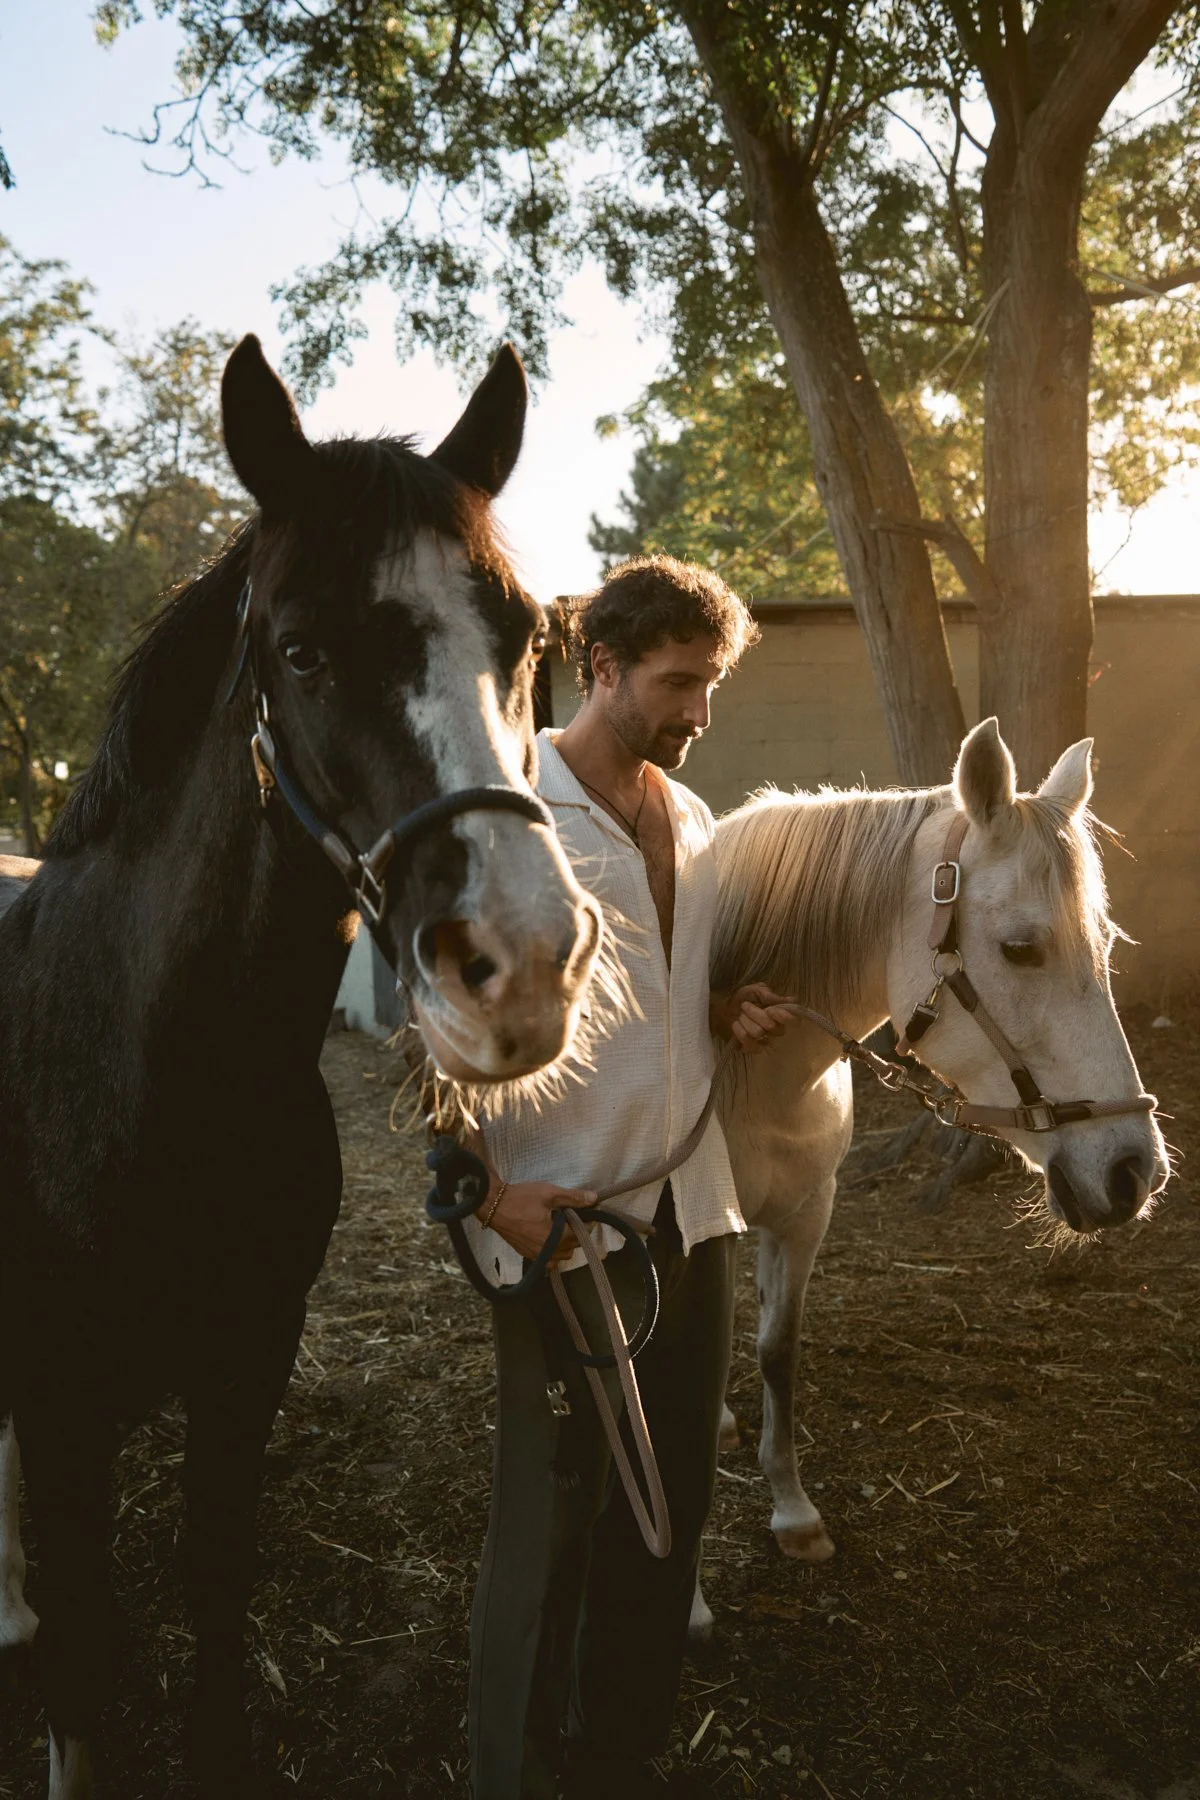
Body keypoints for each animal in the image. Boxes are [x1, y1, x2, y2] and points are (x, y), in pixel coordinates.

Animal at [0, 335, 603, 1799]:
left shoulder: (246, 1372)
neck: (144, 1083)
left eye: (526, 640)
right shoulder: (64, 1412)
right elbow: (89, 1674)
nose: (524, 961)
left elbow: (214, 1589)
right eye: (302, 649)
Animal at [689, 718, 1168, 1638]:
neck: (747, 1069)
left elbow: (776, 1353)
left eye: (1106, 944)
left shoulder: (805, 1217)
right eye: (1020, 948)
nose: (1134, 1170)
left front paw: (793, 1513)